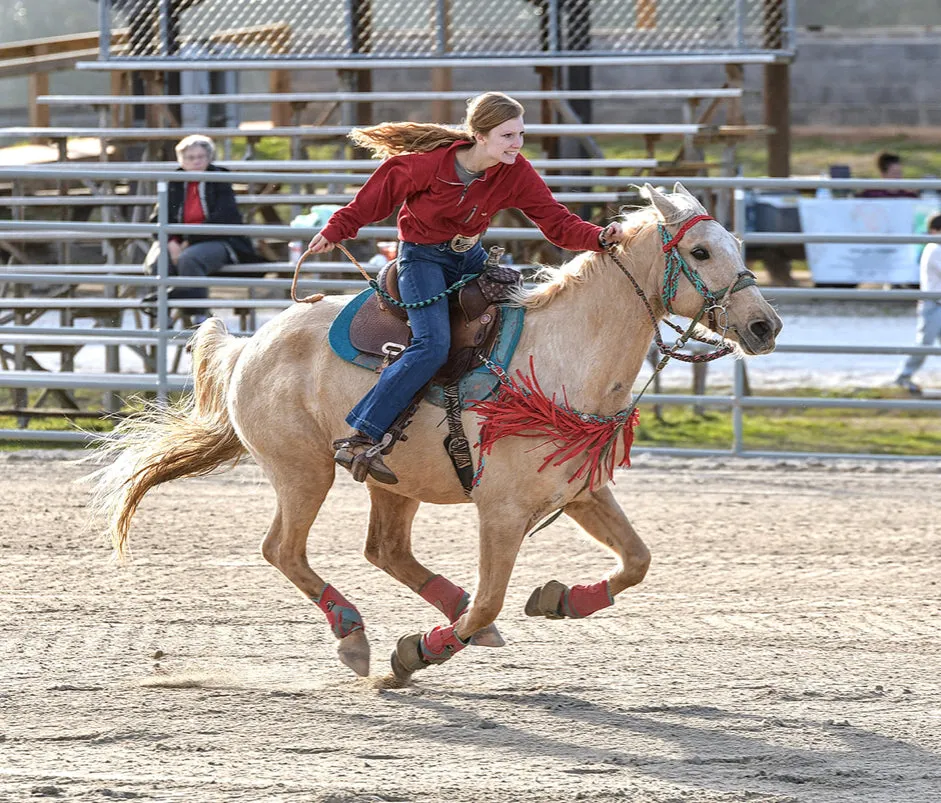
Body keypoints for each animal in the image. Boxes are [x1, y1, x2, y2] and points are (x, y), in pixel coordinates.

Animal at [88, 184, 784, 684]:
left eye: (737, 245)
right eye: (700, 253)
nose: (765, 325)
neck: (560, 359)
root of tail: (249, 344)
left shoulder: (581, 491)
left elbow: (637, 561)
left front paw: (559, 599)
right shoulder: (501, 512)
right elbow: (493, 598)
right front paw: (416, 654)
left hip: (395, 481)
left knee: (385, 550)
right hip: (302, 471)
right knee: (283, 550)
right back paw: (356, 636)